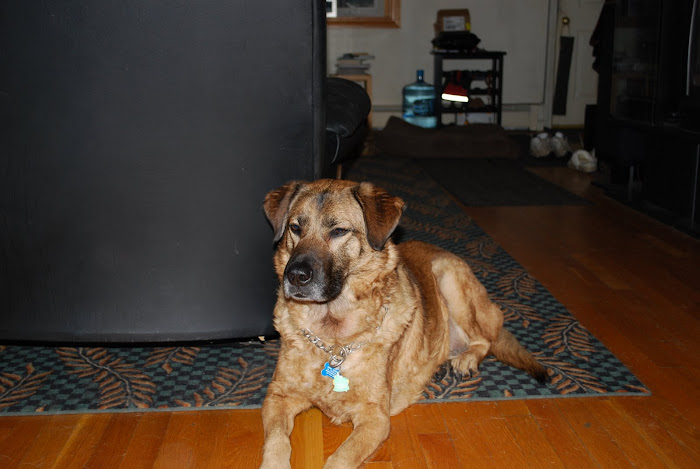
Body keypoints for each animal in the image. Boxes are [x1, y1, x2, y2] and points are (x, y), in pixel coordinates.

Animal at [260, 179, 544, 468]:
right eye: (296, 228)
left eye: (339, 231)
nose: (295, 276)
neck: (333, 338)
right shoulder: (278, 395)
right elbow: (276, 441)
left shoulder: (375, 418)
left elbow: (340, 459)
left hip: (448, 277)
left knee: (485, 338)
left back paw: (467, 358)